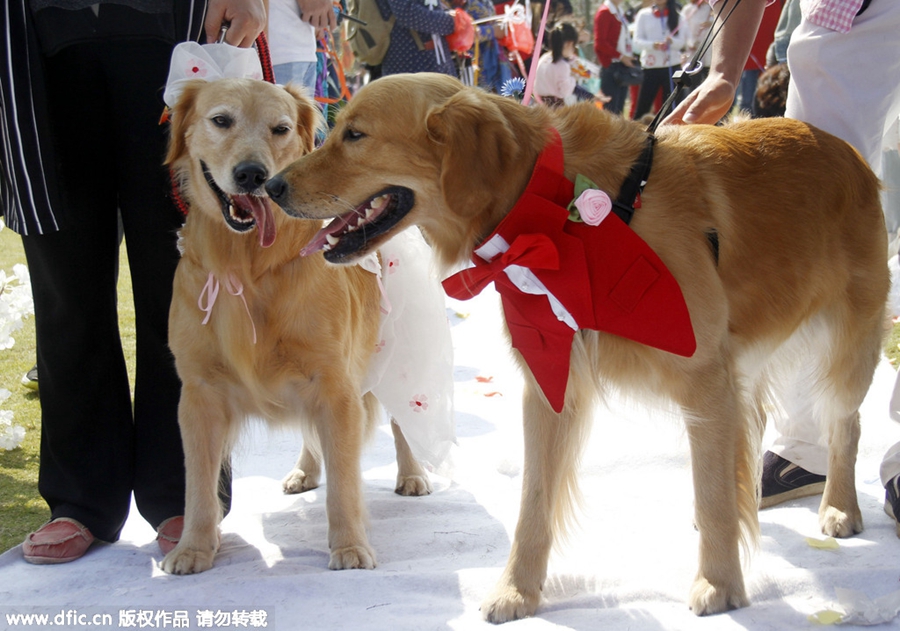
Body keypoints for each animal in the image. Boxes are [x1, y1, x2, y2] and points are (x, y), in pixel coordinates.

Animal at [160, 76, 434, 576]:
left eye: (281, 129)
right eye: (221, 120)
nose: (253, 175)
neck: (248, 266)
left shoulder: (335, 384)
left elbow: (344, 481)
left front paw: (349, 545)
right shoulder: (199, 393)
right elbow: (199, 486)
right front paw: (193, 547)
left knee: (402, 423)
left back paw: (412, 474)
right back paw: (305, 470)